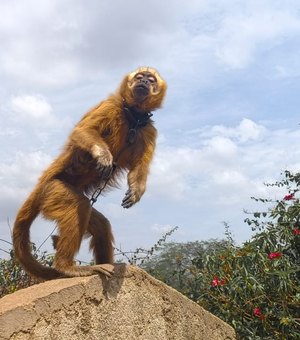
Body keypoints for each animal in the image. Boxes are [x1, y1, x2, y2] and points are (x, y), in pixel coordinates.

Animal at [12, 67, 166, 282]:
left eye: (150, 80)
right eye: (139, 77)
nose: (143, 81)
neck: (133, 117)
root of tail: (41, 185)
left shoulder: (149, 128)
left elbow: (139, 168)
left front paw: (136, 191)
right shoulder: (110, 106)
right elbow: (81, 131)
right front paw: (103, 156)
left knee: (101, 224)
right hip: (54, 189)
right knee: (81, 205)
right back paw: (66, 267)